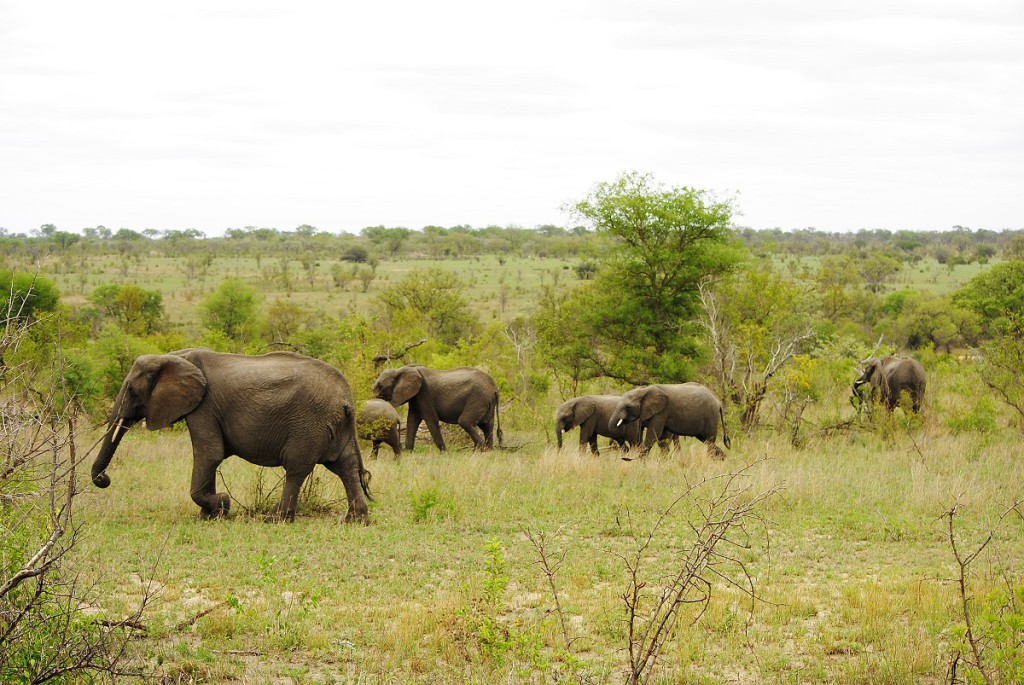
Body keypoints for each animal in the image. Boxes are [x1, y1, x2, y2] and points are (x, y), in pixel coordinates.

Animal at [91, 350, 372, 520]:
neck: (174, 357)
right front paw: (209, 516)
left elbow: (209, 454)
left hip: (310, 421)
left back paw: (275, 519)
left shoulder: (204, 406)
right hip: (334, 424)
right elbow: (210, 457)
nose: (104, 478)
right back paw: (355, 520)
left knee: (296, 468)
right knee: (345, 465)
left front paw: (222, 505)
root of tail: (347, 397)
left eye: (131, 389)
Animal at [370, 362, 501, 448]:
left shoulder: (424, 394)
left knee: (465, 421)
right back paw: (488, 452)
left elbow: (431, 420)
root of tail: (495, 388)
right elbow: (412, 420)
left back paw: (480, 451)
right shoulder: (415, 397)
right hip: (486, 401)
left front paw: (445, 454)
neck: (399, 370)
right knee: (487, 426)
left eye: (380, 386)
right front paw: (408, 453)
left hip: (478, 398)